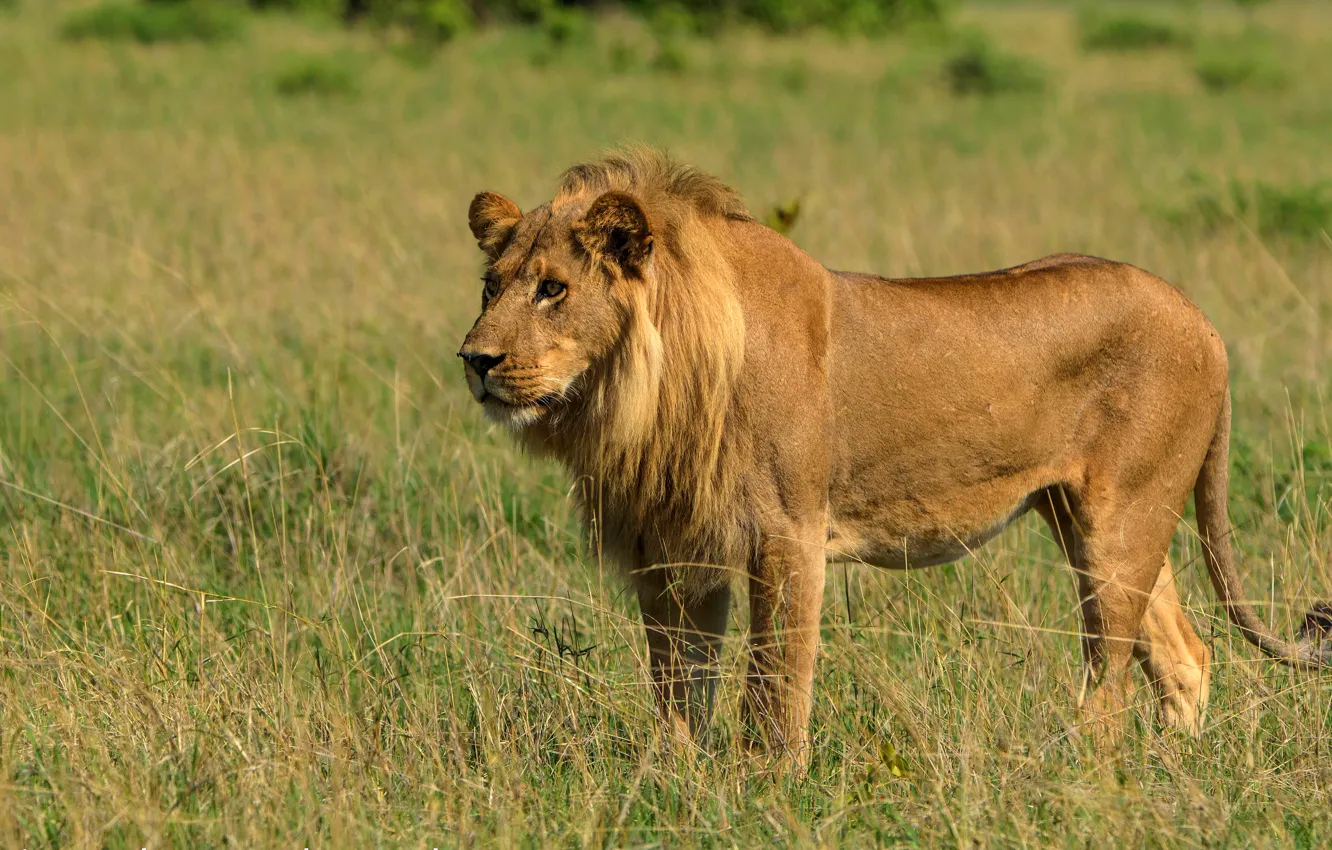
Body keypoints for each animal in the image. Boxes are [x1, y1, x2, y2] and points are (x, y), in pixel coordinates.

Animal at [455, 147, 1321, 767]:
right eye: (492, 285)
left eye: (553, 289)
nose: (475, 359)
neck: (643, 388)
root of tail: (1200, 317)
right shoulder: (672, 548)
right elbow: (679, 688)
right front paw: (673, 786)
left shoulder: (787, 533)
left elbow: (776, 688)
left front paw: (769, 790)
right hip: (1087, 517)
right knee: (1183, 655)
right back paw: (1175, 778)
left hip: (1122, 522)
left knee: (1108, 681)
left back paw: (1083, 780)